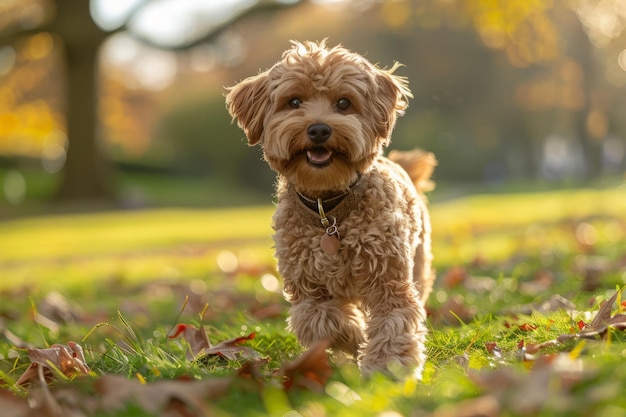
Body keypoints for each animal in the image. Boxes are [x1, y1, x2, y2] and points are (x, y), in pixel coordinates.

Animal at [224, 40, 434, 376]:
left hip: (419, 262)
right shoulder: (309, 289)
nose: (319, 130)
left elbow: (394, 322)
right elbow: (323, 321)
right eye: (294, 101)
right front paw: (354, 338)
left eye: (344, 103)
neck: (328, 211)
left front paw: (387, 367)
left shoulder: (388, 281)